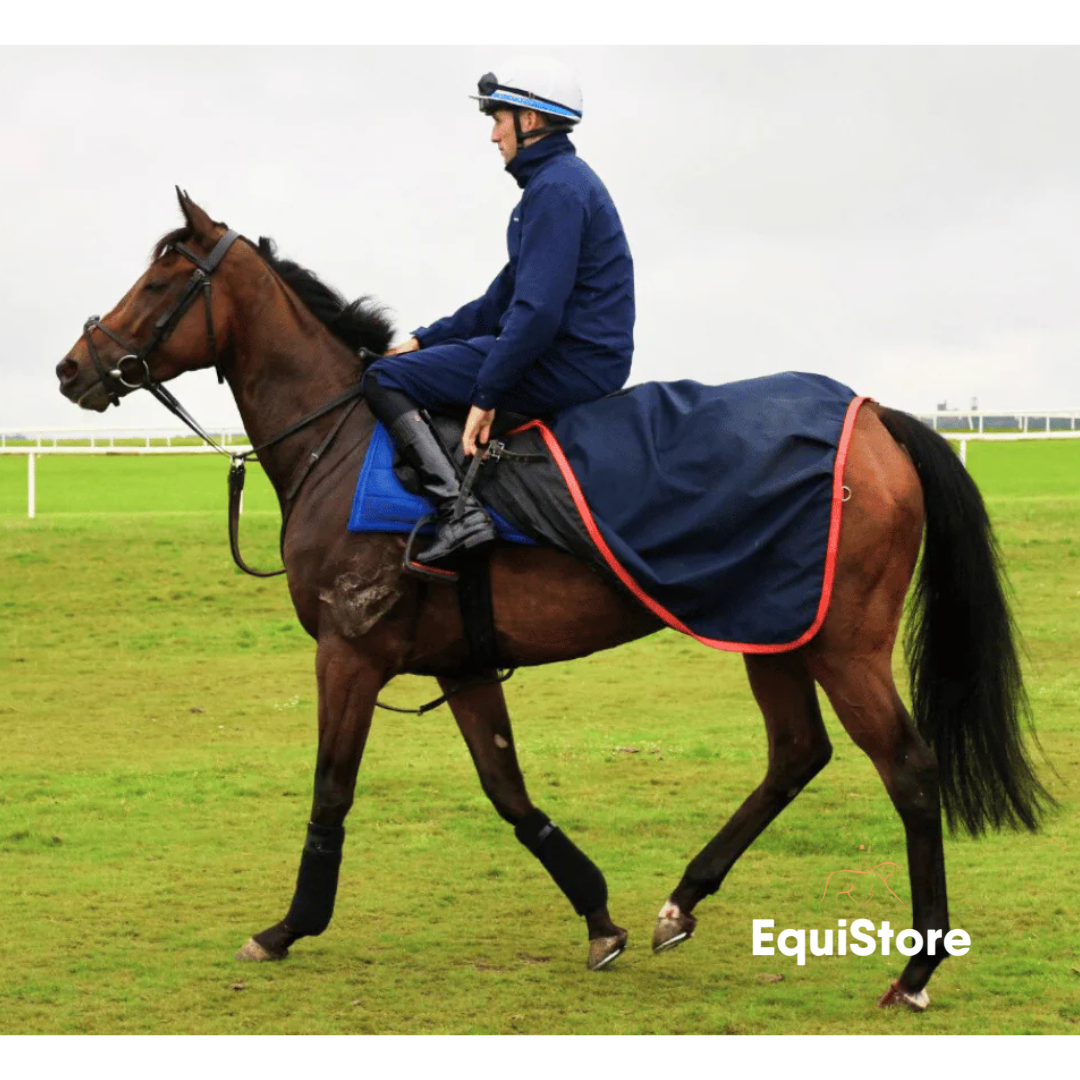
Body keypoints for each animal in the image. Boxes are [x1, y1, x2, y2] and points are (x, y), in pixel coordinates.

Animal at [56, 191, 1052, 1010]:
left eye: (160, 277)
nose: (72, 367)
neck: (347, 441)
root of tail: (873, 414)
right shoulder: (459, 664)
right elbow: (510, 793)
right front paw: (600, 916)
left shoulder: (348, 654)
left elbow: (331, 792)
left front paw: (288, 927)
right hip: (772, 632)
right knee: (796, 754)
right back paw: (681, 901)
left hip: (841, 646)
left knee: (909, 773)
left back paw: (916, 968)